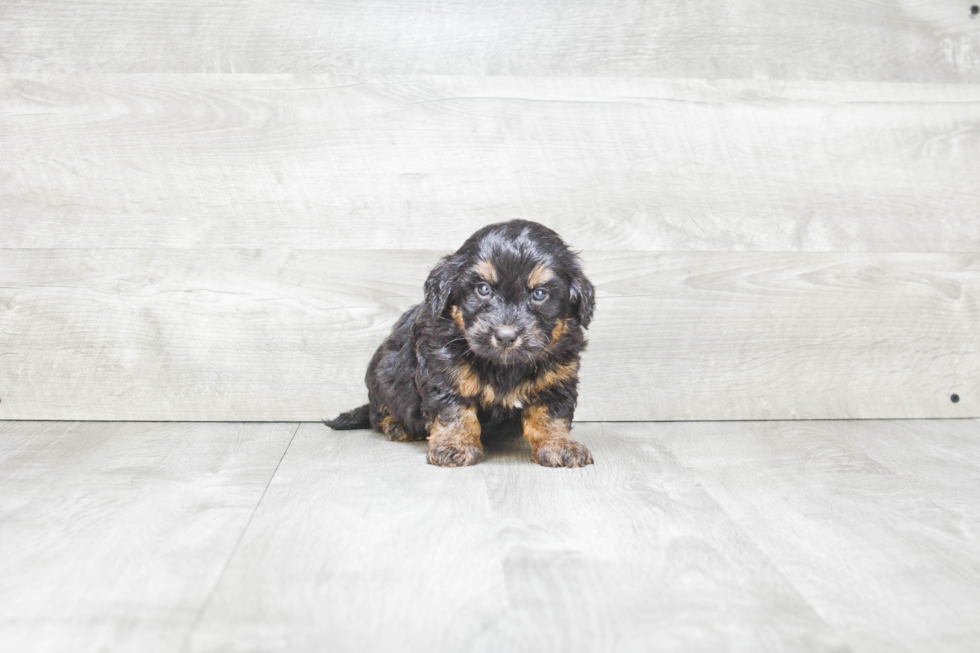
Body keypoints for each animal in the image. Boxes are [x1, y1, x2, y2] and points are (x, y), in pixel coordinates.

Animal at [326, 222, 592, 466]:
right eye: (483, 289)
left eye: (539, 294)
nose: (505, 336)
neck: (504, 367)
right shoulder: (444, 369)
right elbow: (454, 412)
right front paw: (455, 445)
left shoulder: (557, 378)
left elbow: (550, 414)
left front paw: (560, 444)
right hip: (382, 377)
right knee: (378, 414)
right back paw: (397, 425)